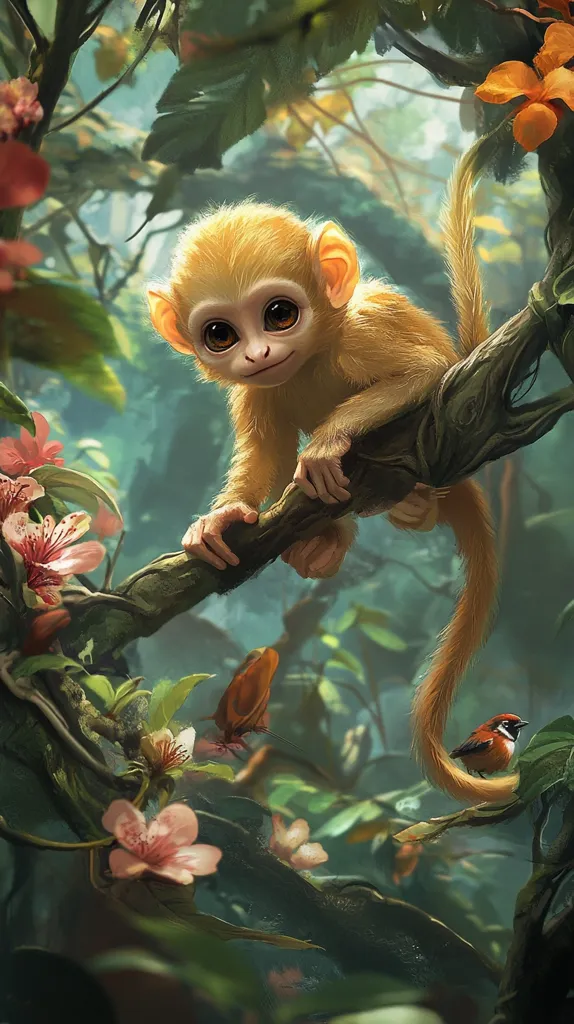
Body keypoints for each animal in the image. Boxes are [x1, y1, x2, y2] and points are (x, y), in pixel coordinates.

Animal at [147, 136, 515, 807]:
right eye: (220, 334)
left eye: (279, 314)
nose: (259, 353)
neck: (313, 352)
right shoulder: (254, 389)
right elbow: (264, 456)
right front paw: (222, 518)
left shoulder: (365, 331)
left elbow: (424, 371)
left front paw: (325, 445)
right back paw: (332, 539)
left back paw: (409, 502)